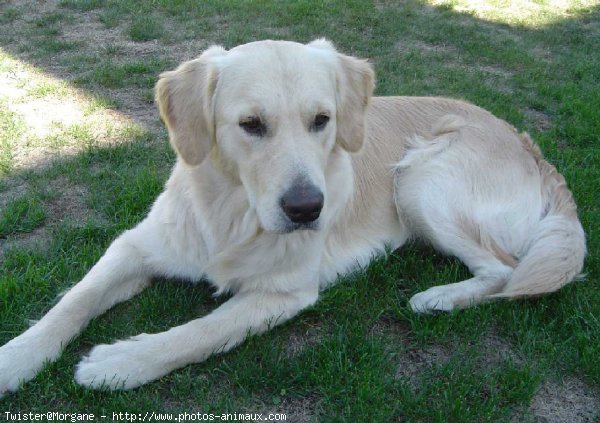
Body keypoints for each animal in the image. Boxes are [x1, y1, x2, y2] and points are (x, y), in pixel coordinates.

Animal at [0, 39, 584, 398]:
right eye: (251, 125)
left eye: (322, 120)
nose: (307, 209)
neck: (232, 214)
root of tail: (528, 145)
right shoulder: (134, 247)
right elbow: (74, 301)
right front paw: (15, 358)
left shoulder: (284, 293)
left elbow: (200, 331)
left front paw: (119, 364)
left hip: (421, 179)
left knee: (505, 270)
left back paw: (439, 298)